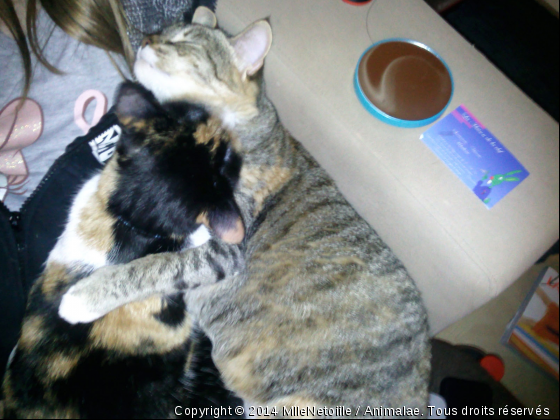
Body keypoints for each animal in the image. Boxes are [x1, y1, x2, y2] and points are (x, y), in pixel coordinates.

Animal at [59, 7, 430, 416]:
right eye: (165, 32)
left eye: (184, 40)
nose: (144, 39)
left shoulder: (225, 243)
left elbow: (153, 267)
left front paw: (85, 295)